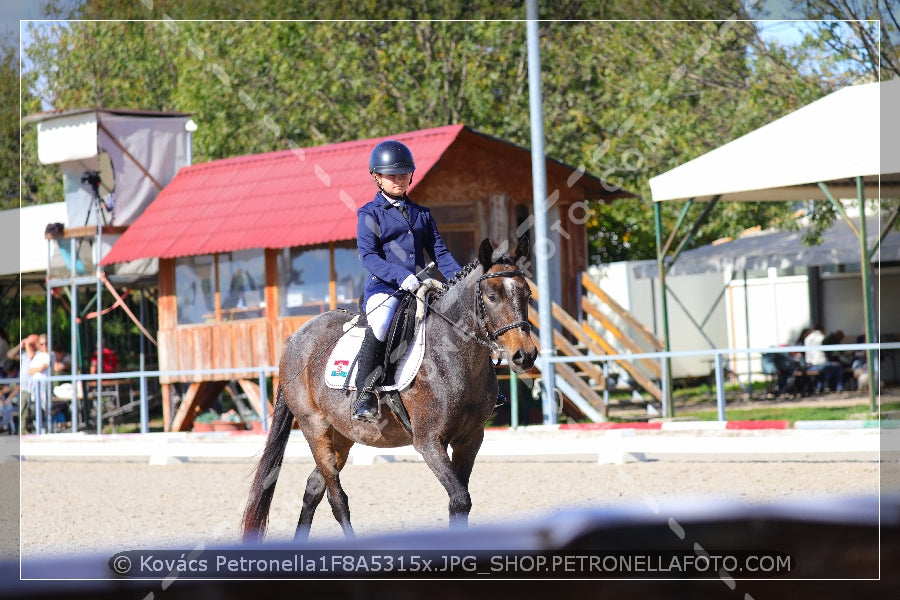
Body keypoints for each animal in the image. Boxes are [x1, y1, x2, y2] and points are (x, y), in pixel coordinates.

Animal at [241, 233, 536, 540]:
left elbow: (460, 502)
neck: (455, 354)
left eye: (527, 295)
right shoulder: (428, 442)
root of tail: (295, 338)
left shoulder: (471, 438)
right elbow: (459, 499)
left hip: (342, 434)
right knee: (337, 498)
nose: (525, 355)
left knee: (314, 487)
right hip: (315, 427)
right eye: (492, 296)